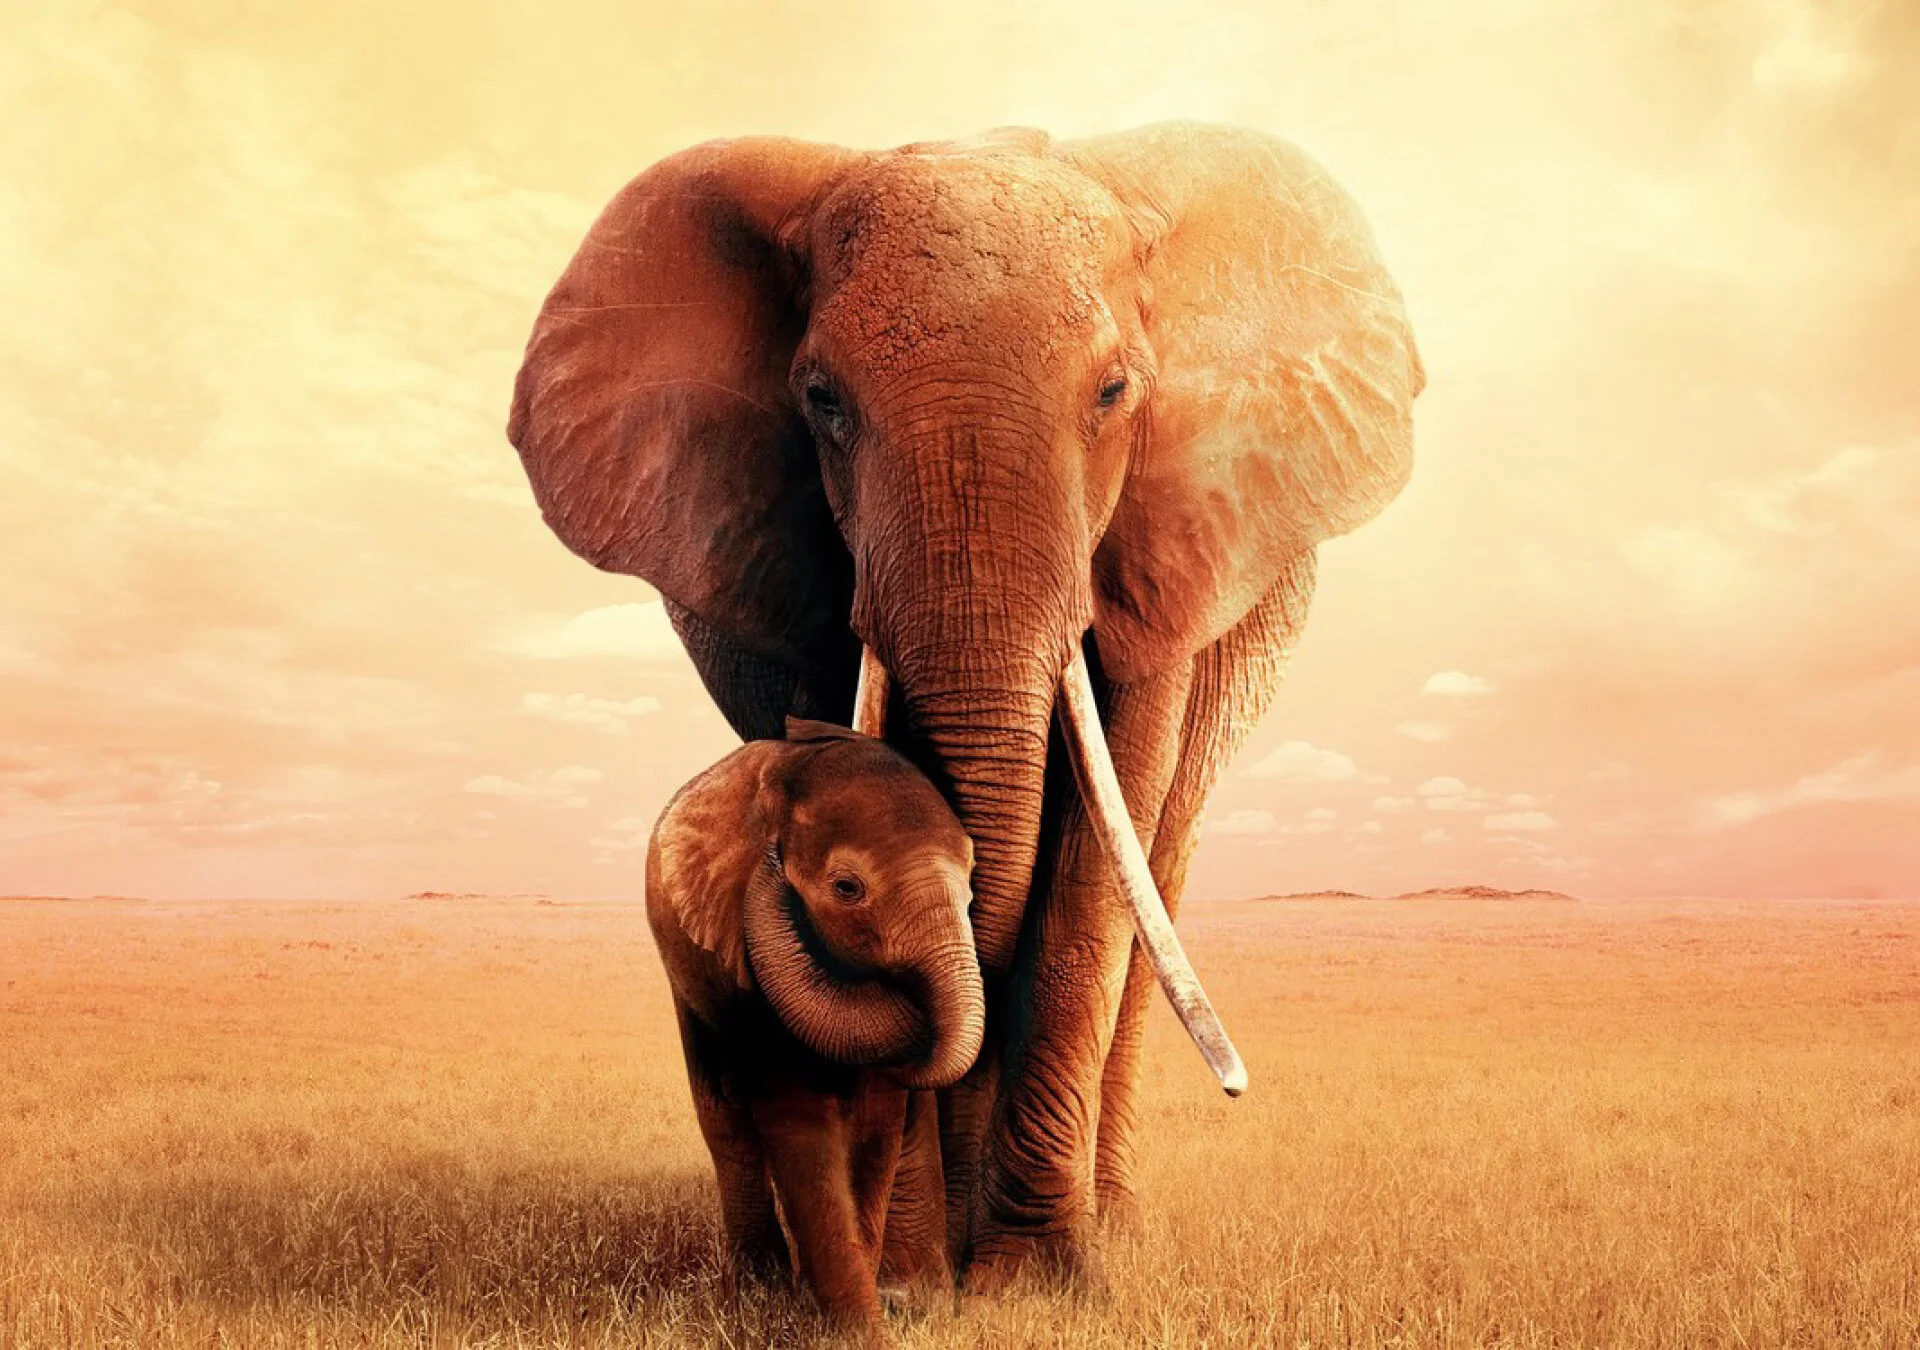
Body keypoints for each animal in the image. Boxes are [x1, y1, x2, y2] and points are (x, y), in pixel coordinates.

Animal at [647, 717, 983, 1334]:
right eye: (847, 889)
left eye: (971, 889)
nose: (771, 861)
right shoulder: (744, 964)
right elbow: (797, 1117)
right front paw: (856, 1330)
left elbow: (876, 1125)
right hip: (686, 978)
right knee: (725, 1122)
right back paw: (759, 1288)